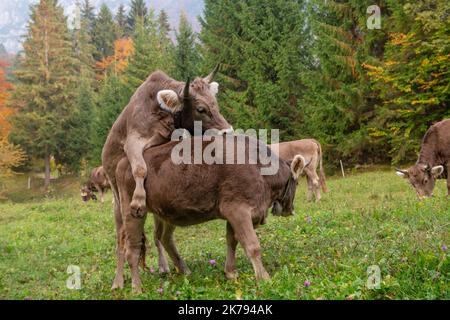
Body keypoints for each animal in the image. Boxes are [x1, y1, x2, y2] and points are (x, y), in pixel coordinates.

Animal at [114, 135, 308, 292]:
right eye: (297, 183)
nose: (290, 210)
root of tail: (124, 162)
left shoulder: (232, 212)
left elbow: (232, 241)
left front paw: (231, 273)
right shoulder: (238, 209)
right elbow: (252, 245)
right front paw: (264, 278)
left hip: (166, 212)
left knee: (164, 238)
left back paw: (184, 270)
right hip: (133, 211)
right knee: (132, 249)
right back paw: (136, 288)